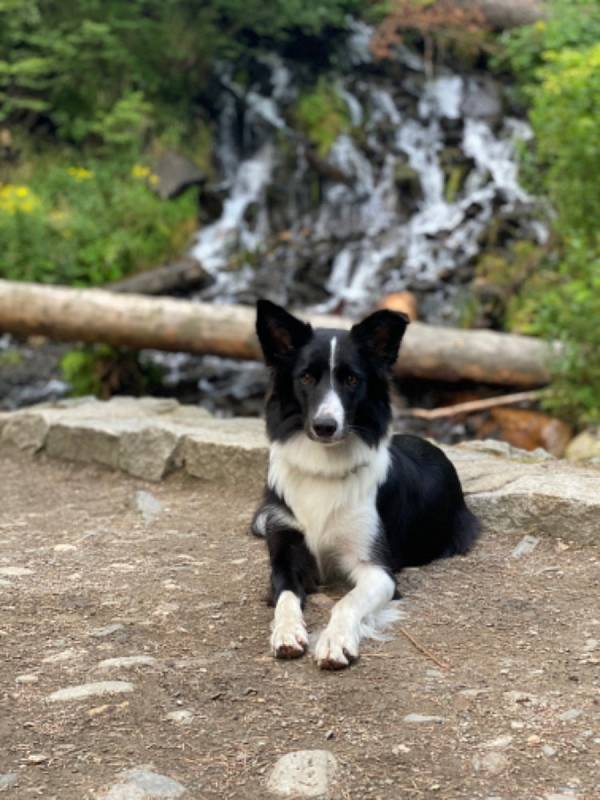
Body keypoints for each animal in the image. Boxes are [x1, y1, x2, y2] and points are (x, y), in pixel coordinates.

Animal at [251, 300, 480, 668]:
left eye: (351, 379)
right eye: (306, 377)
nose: (325, 426)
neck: (324, 467)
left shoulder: (377, 569)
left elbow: (348, 601)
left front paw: (335, 641)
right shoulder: (284, 551)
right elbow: (285, 596)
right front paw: (286, 632)